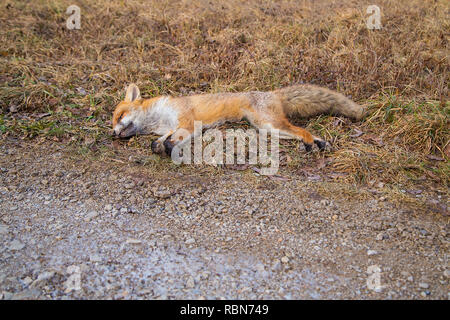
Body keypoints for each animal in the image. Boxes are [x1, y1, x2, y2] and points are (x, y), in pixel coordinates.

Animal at [112, 84, 366, 155]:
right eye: (113, 121)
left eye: (120, 116)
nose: (112, 133)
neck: (158, 117)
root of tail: (272, 93)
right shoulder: (172, 126)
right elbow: (161, 139)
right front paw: (157, 145)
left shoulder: (187, 122)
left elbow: (171, 139)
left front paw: (167, 147)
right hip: (268, 128)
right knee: (308, 133)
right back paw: (320, 143)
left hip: (270, 124)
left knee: (303, 131)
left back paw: (310, 144)